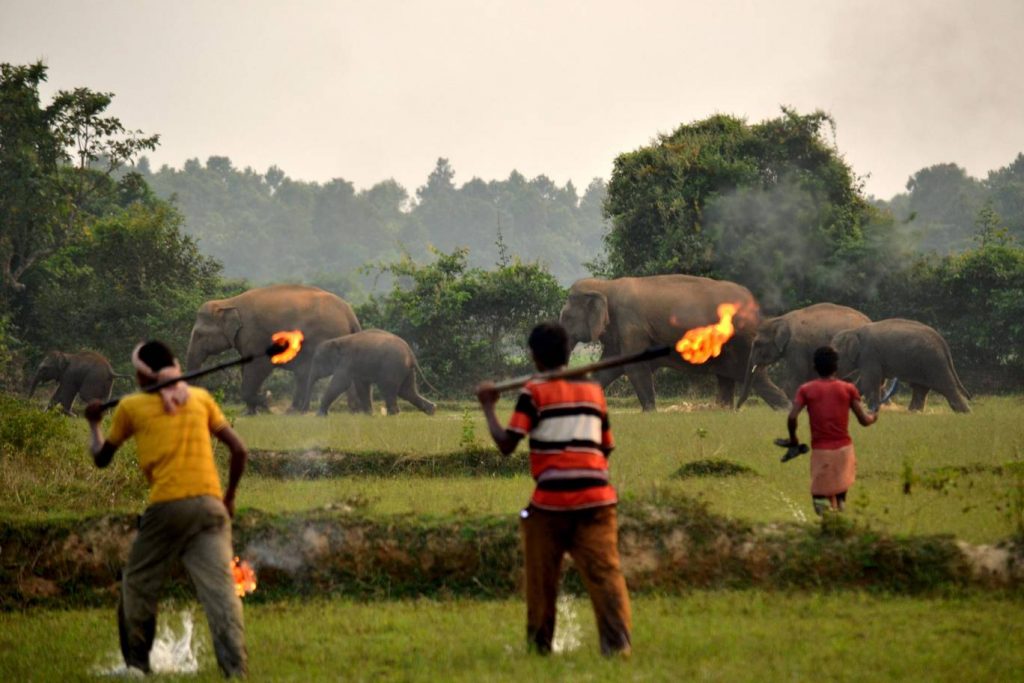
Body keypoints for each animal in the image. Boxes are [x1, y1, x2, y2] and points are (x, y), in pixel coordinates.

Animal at [188, 282, 364, 411]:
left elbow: (259, 366)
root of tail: (350, 314)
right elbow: (247, 367)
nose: (267, 395)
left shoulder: (255, 334)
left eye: (199, 335)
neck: (228, 302)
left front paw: (265, 402)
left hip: (323, 337)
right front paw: (251, 412)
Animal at [299, 329, 436, 417]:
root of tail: (411, 354)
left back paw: (393, 414)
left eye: (316, 360)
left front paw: (319, 415)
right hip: (405, 369)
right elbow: (361, 386)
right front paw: (368, 415)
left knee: (388, 389)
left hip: (392, 367)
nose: (303, 412)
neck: (339, 340)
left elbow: (340, 384)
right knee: (407, 391)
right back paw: (432, 410)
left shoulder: (347, 361)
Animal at [561, 274, 790, 411]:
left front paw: (650, 412)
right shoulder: (619, 333)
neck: (605, 285)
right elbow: (608, 368)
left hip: (743, 342)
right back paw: (724, 411)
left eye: (566, 318)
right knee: (728, 379)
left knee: (756, 378)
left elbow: (635, 367)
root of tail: (754, 305)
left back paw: (784, 410)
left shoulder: (631, 325)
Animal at [831, 319, 966, 413]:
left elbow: (869, 381)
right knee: (920, 388)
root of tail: (942, 342)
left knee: (946, 386)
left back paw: (964, 414)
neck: (854, 331)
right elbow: (870, 382)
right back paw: (914, 412)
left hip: (934, 362)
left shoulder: (869, 354)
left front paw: (872, 410)